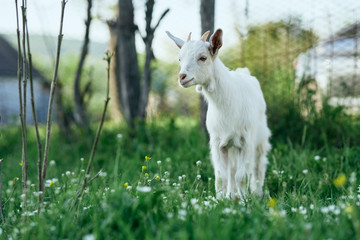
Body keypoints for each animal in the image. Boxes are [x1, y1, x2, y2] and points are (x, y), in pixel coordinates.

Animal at [167, 29, 272, 199]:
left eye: (203, 58)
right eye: (179, 58)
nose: (182, 77)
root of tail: (244, 71)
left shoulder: (246, 141)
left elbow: (241, 176)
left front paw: (244, 201)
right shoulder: (217, 142)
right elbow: (221, 176)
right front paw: (220, 200)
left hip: (260, 138)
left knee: (258, 165)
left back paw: (257, 193)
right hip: (231, 146)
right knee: (232, 169)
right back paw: (232, 195)